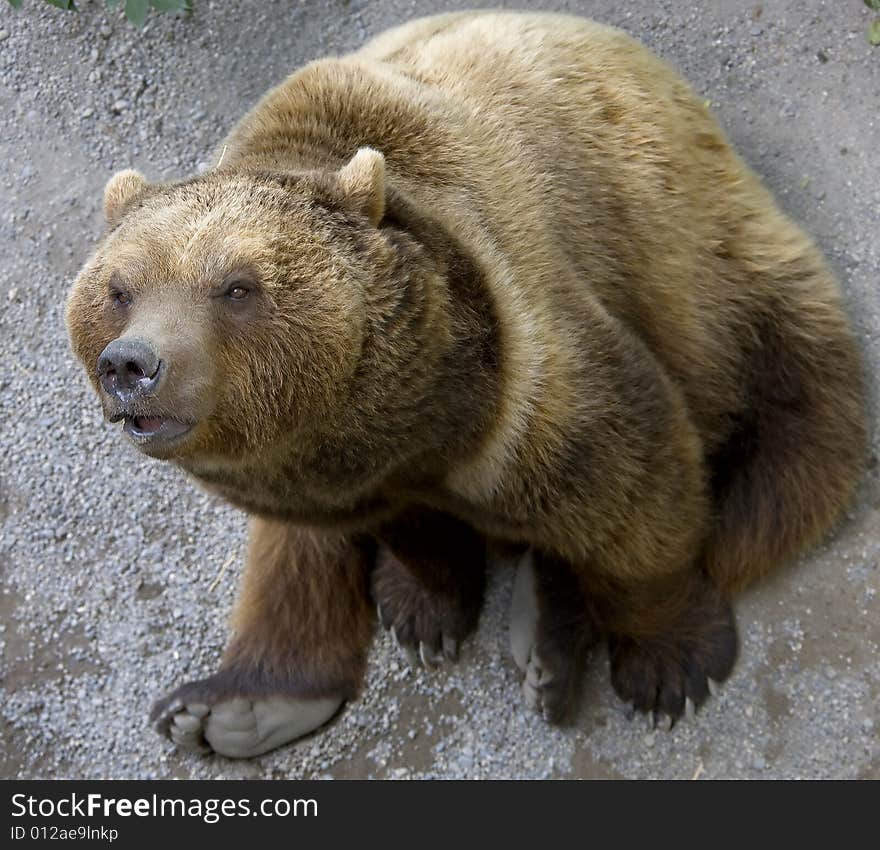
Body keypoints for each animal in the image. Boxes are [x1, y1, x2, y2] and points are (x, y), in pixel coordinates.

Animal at [67, 11, 868, 756]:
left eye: (236, 286)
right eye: (118, 289)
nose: (132, 365)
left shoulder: (525, 365)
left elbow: (635, 490)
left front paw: (670, 665)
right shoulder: (335, 473)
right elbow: (397, 530)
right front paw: (430, 607)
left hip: (726, 281)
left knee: (785, 461)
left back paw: (549, 633)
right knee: (291, 550)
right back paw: (227, 709)